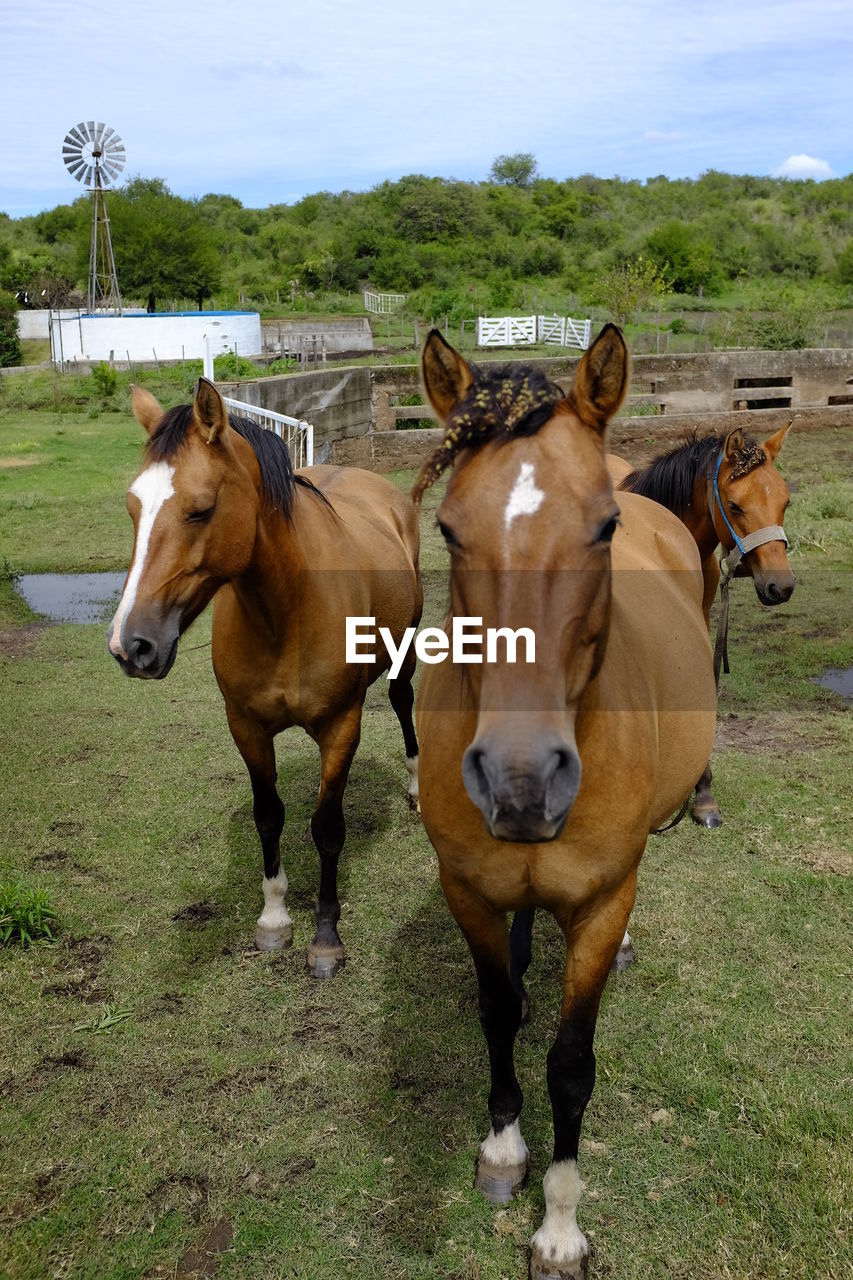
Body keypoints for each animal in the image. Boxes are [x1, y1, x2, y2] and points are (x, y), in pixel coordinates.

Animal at [108, 378, 422, 977]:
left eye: (201, 510)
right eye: (131, 507)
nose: (130, 645)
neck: (287, 608)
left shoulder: (342, 726)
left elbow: (328, 828)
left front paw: (325, 938)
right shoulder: (246, 727)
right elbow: (268, 816)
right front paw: (274, 918)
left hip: (406, 651)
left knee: (403, 702)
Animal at [409, 327, 712, 1280]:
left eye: (604, 527)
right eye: (446, 529)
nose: (520, 779)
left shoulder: (601, 900)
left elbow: (572, 1064)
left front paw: (559, 1227)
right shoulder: (467, 889)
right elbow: (498, 1011)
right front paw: (504, 1150)